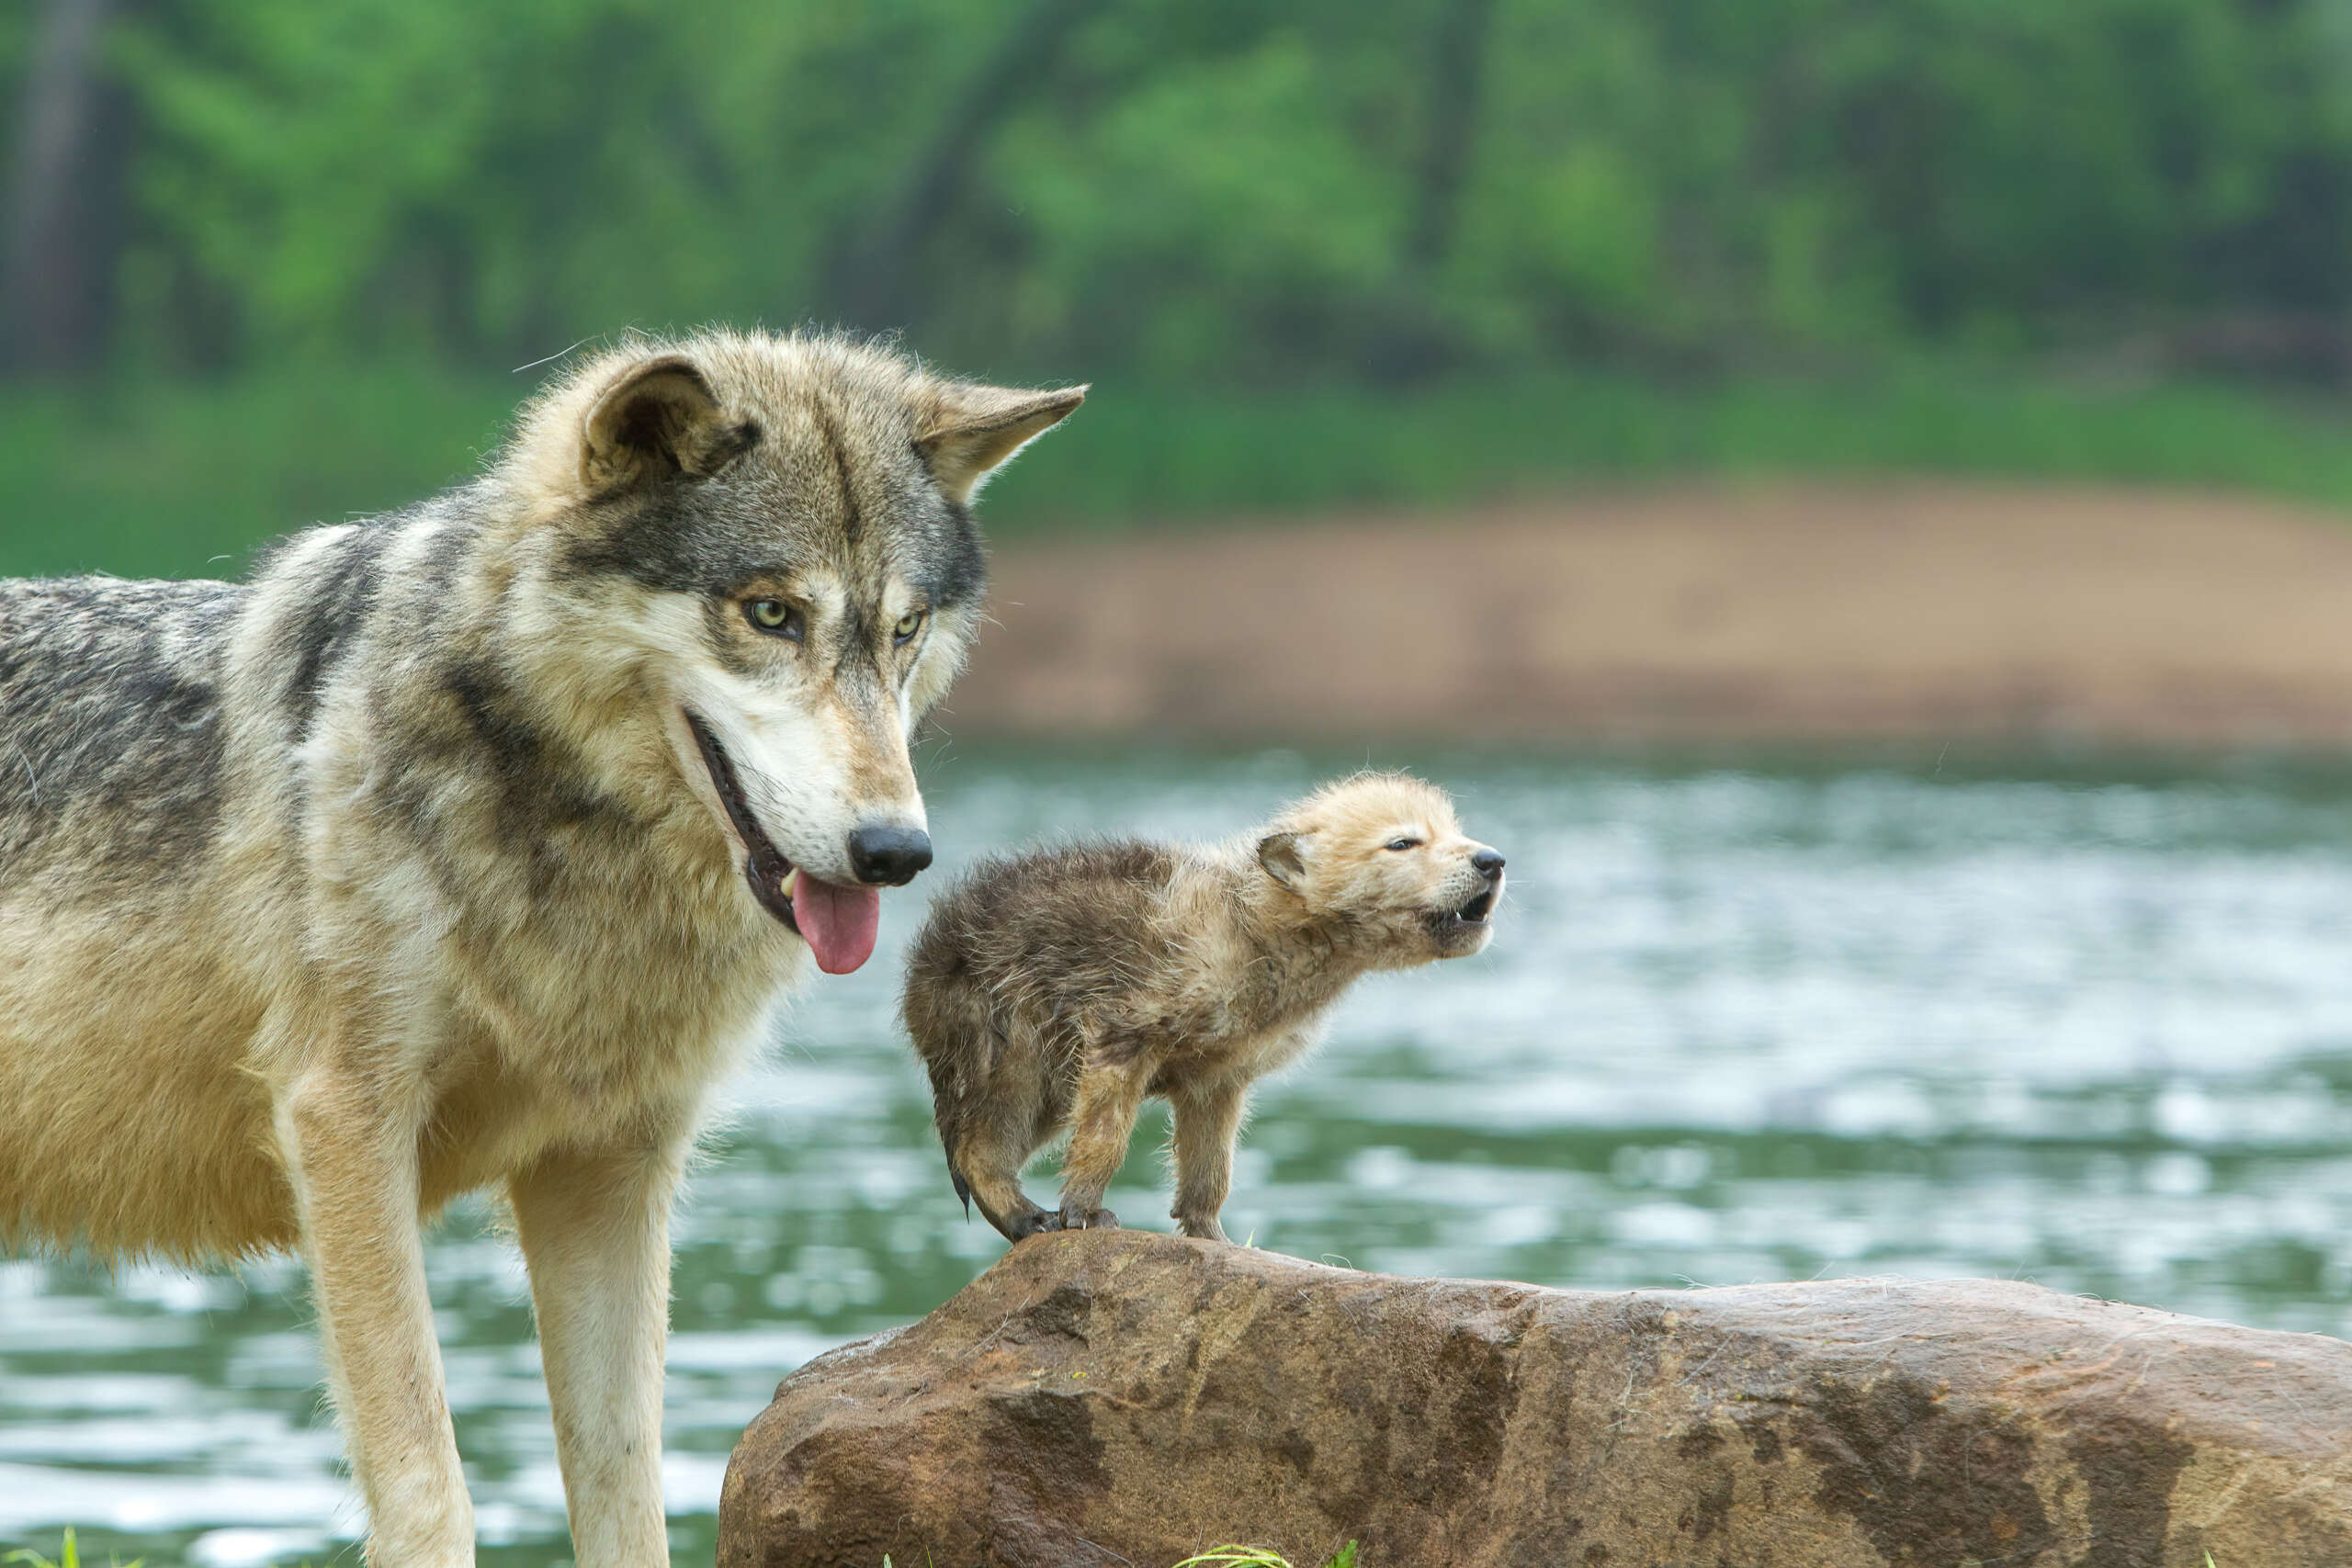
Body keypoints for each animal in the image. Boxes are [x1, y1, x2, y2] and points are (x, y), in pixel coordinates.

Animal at [0, 329, 1081, 1561]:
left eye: (903, 630)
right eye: (770, 614)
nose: (896, 851)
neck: (569, 840)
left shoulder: (609, 1169)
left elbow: (626, 1485)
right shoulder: (344, 1126)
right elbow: (428, 1484)